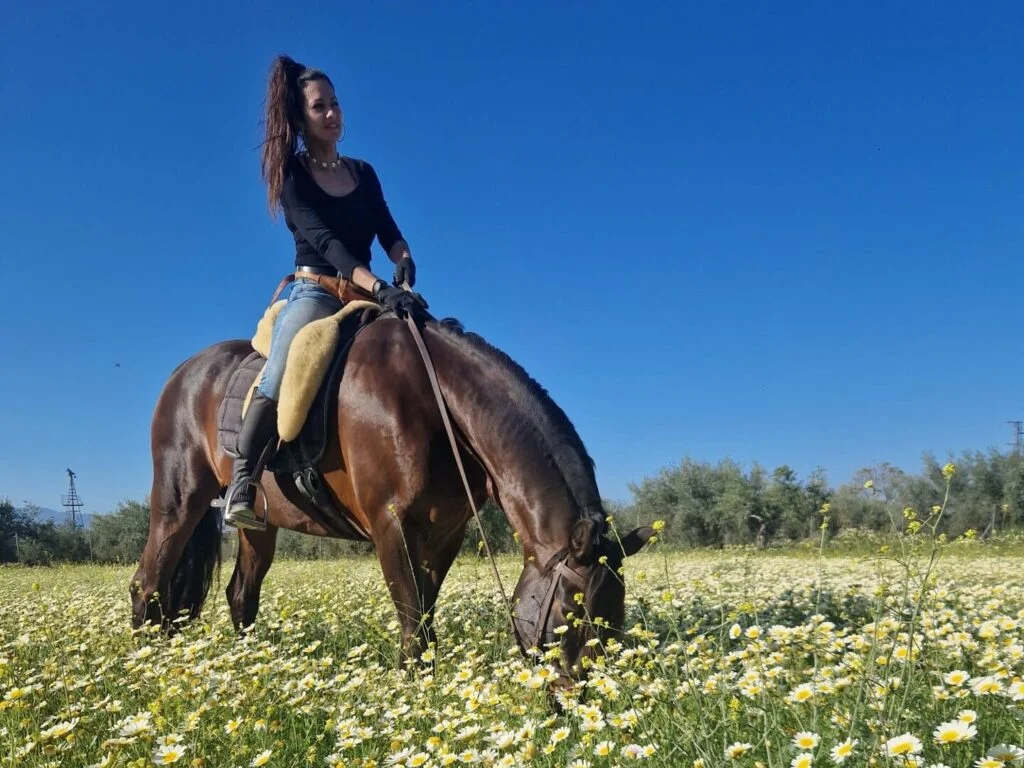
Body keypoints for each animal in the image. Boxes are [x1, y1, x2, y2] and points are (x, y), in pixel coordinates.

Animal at [130, 309, 653, 679]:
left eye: (617, 617)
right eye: (569, 612)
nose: (573, 700)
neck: (437, 402)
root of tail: (186, 371)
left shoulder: (446, 533)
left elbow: (425, 615)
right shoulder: (391, 524)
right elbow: (413, 621)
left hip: (260, 523)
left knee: (241, 596)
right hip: (179, 497)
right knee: (147, 583)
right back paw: (144, 668)